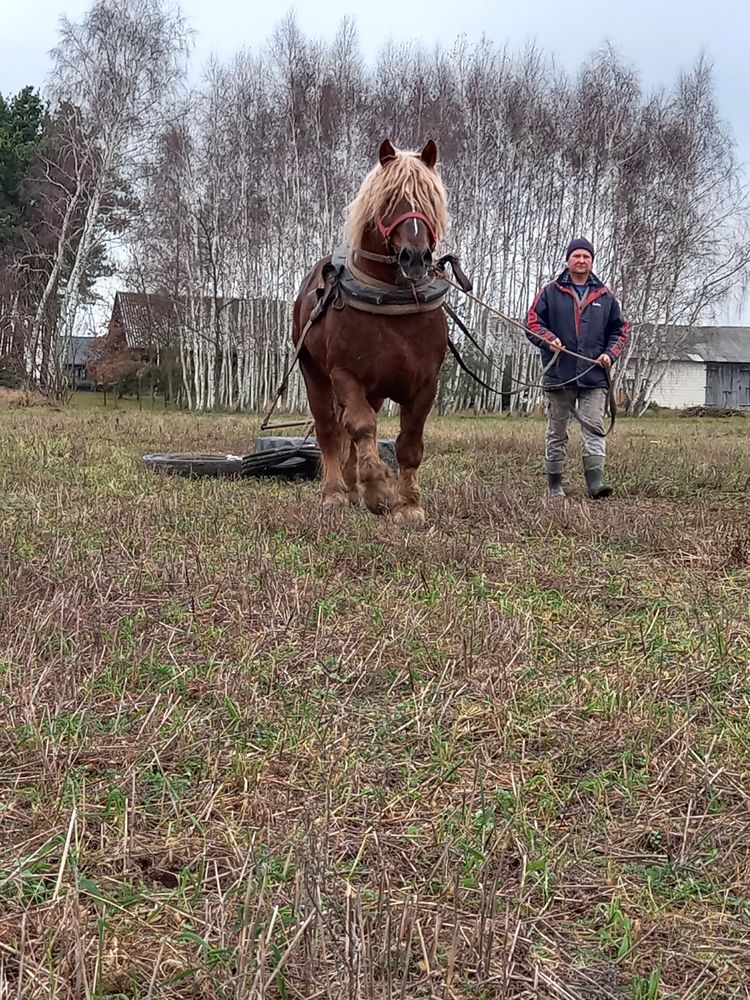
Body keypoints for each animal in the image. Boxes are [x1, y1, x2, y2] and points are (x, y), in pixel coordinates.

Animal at [292, 144, 446, 532]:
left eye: (431, 198)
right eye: (389, 199)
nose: (416, 257)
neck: (392, 301)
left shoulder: (426, 383)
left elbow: (409, 443)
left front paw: (409, 505)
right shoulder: (345, 374)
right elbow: (360, 427)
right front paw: (378, 489)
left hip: (374, 391)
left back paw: (351, 484)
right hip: (315, 374)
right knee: (330, 430)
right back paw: (335, 491)